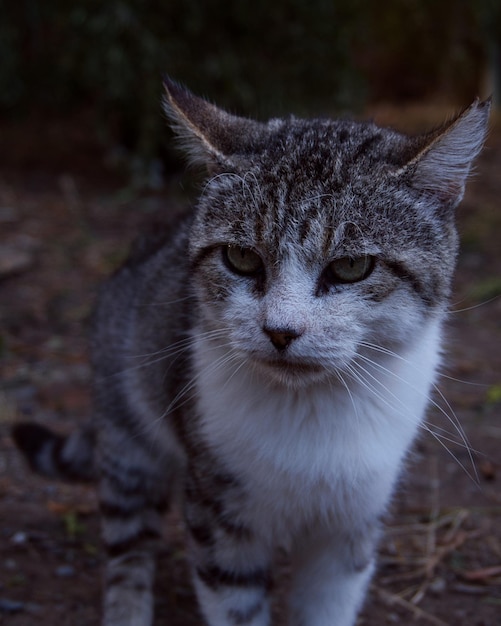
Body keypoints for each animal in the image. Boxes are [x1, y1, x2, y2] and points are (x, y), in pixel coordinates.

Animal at [12, 79, 488, 624]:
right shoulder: (219, 514)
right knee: (127, 542)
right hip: (127, 430)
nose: (280, 331)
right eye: (241, 258)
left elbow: (327, 604)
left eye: (351, 267)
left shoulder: (352, 523)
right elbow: (235, 601)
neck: (309, 412)